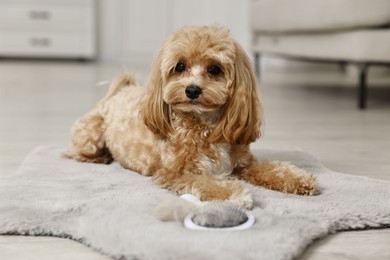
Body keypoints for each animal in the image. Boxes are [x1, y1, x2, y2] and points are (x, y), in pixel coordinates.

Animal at [65, 25, 316, 208]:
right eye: (180, 66)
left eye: (214, 69)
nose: (192, 90)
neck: (205, 125)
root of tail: (118, 93)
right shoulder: (176, 173)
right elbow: (205, 181)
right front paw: (234, 193)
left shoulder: (243, 164)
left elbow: (270, 168)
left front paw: (299, 179)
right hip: (91, 136)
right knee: (73, 152)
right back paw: (99, 158)